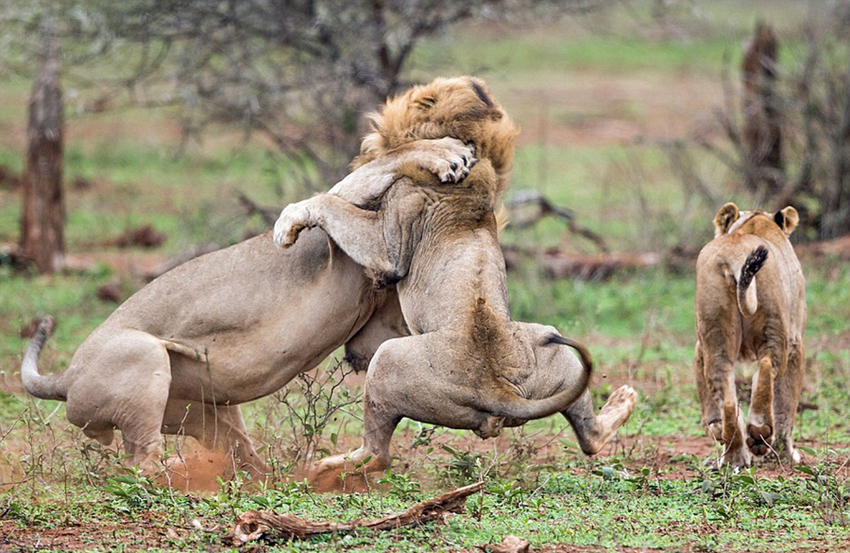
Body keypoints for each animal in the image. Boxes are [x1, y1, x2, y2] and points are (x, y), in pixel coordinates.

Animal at [21, 136, 478, 479]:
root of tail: (65, 377)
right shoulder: (330, 235)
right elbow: (383, 161)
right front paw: (450, 152)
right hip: (142, 353)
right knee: (140, 463)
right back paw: (181, 480)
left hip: (206, 412)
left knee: (236, 456)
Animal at [274, 76, 638, 487]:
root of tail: (499, 391)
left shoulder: (388, 246)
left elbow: (331, 203)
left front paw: (289, 223)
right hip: (554, 351)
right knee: (591, 437)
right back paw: (624, 400)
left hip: (388, 360)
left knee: (377, 453)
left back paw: (322, 469)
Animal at [694, 202, 806, 468]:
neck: (755, 222)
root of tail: (735, 251)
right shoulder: (797, 341)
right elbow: (787, 404)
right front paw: (787, 454)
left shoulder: (699, 344)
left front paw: (716, 429)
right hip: (775, 325)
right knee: (767, 366)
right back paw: (759, 432)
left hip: (714, 328)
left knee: (726, 396)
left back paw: (734, 458)